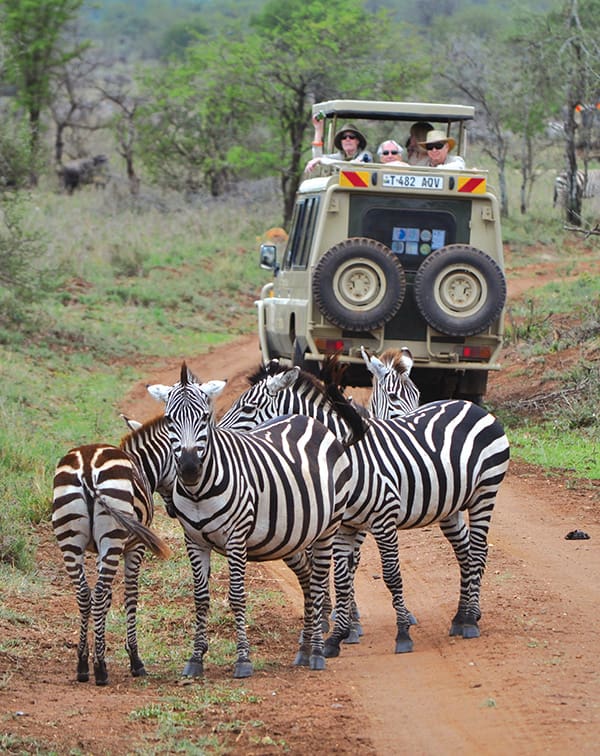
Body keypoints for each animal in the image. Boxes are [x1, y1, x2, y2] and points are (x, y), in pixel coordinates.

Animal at [52, 444, 171, 685]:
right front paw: (134, 659)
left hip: (70, 538)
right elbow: (130, 596)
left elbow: (106, 600)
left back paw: (82, 664)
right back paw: (100, 670)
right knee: (96, 594)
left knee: (84, 595)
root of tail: (87, 468)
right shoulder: (136, 546)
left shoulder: (100, 551)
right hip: (113, 535)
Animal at [147, 363, 357, 679]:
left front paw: (243, 659)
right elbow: (200, 598)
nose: (190, 468)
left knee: (319, 581)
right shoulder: (193, 540)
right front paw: (195, 659)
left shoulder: (235, 537)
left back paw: (319, 652)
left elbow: (236, 596)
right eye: (170, 420)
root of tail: (307, 420)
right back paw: (305, 648)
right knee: (308, 580)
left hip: (329, 527)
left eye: (205, 417)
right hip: (294, 534)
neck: (199, 491)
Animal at [221, 358, 510, 656]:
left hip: (485, 491)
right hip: (450, 507)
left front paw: (401, 634)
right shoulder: (345, 524)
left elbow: (390, 574)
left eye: (247, 408)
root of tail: (471, 406)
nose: (218, 433)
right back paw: (461, 616)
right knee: (465, 552)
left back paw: (470, 620)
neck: (346, 454)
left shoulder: (383, 517)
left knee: (478, 551)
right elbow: (341, 576)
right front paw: (336, 636)